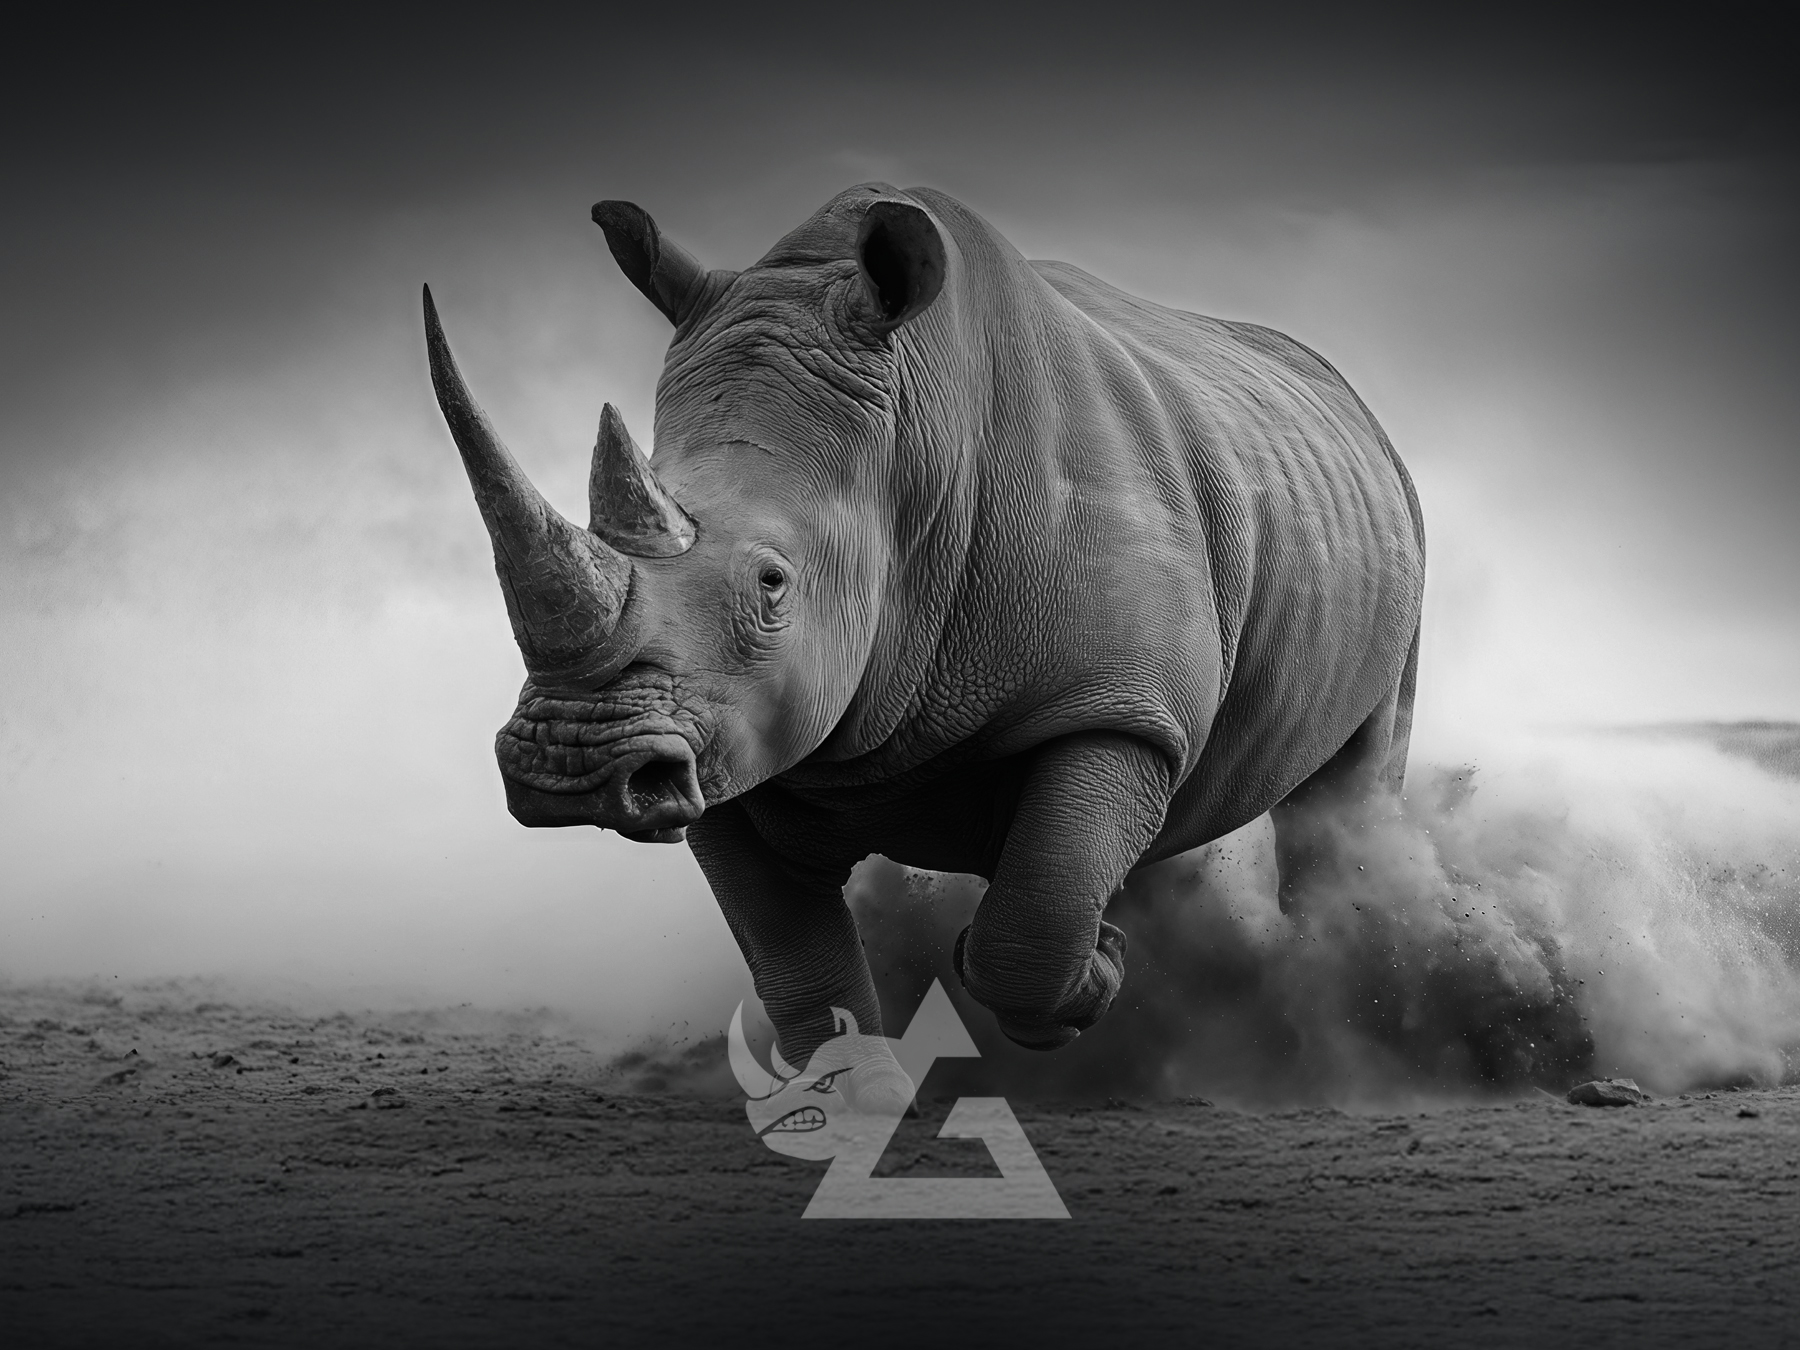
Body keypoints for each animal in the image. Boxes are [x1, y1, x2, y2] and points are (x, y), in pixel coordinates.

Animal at [424, 184, 1425, 1113]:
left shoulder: (1119, 706)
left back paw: (1330, 981)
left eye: (771, 584)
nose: (570, 764)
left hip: (1395, 517)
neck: (910, 468)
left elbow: (1034, 918)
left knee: (1345, 787)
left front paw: (1093, 975)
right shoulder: (719, 739)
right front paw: (859, 1103)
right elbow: (790, 951)